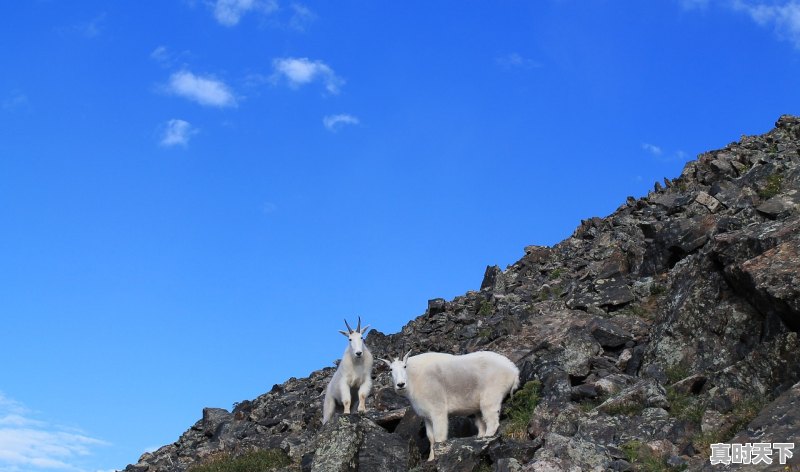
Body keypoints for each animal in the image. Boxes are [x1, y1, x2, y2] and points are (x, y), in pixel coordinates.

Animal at [384, 348, 520, 460]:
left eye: (405, 366)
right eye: (390, 369)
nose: (400, 384)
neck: (414, 379)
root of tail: (514, 370)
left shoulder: (438, 411)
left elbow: (439, 437)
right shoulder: (427, 416)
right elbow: (431, 438)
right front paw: (430, 459)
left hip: (491, 398)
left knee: (492, 423)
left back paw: (484, 441)